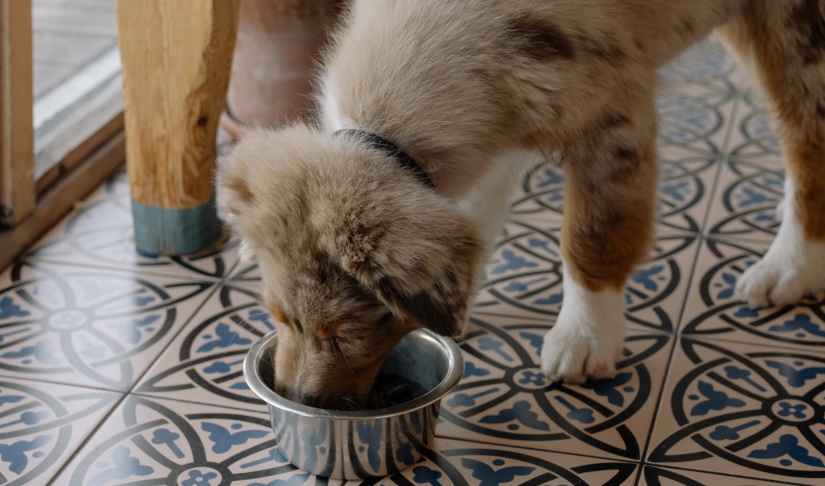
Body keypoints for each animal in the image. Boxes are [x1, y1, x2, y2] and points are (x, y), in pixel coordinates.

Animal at [219, 0, 824, 408]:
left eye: (342, 335)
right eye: (277, 316)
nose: (297, 399)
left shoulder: (613, 120)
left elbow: (592, 238)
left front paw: (584, 338)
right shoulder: (499, 125)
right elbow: (476, 215)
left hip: (792, 29)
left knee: (805, 134)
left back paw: (790, 264)